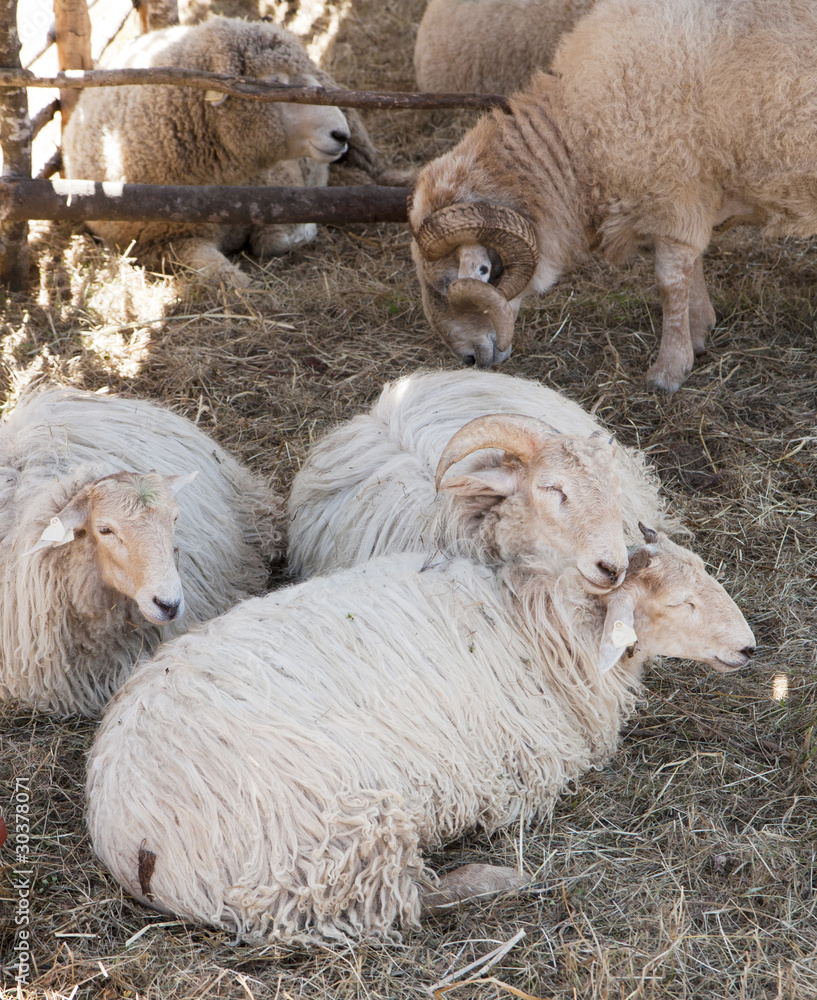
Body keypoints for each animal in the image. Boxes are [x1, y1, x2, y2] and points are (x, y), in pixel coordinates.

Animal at [61, 17, 390, 287]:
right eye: (275, 84)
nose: (340, 134)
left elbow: (272, 241)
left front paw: (302, 230)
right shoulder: (158, 245)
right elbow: (224, 275)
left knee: (377, 168)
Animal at [86, 523, 755, 946]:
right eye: (680, 603)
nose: (750, 648)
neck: (535, 618)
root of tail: (128, 833)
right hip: (337, 832)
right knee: (401, 903)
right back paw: (501, 880)